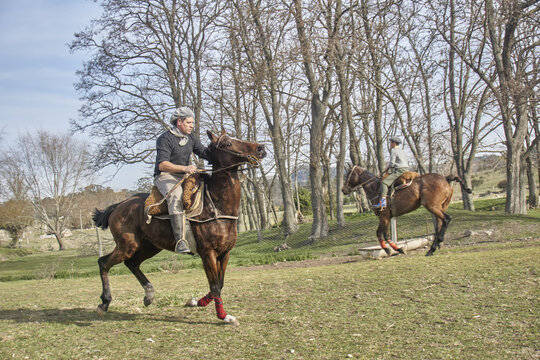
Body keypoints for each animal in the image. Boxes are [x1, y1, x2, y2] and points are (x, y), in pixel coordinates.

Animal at [93, 130, 266, 326]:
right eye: (227, 143)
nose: (260, 148)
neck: (216, 205)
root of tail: (119, 205)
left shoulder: (225, 253)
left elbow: (219, 284)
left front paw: (197, 302)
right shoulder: (208, 253)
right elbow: (215, 286)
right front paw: (223, 316)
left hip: (150, 246)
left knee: (132, 263)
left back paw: (149, 295)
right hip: (127, 246)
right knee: (104, 263)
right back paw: (104, 303)